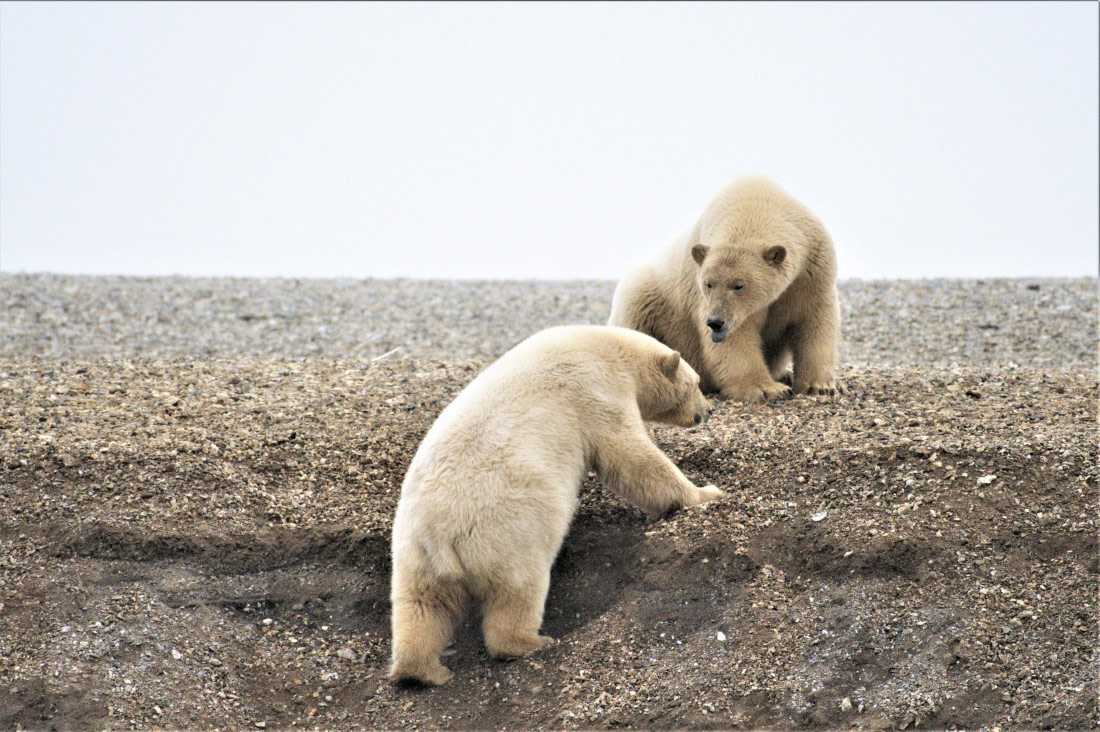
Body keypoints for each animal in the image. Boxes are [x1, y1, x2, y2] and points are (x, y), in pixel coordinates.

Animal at [389, 325, 724, 686]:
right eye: (696, 383)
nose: (709, 411)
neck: (606, 349)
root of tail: (440, 534)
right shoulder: (596, 391)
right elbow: (629, 456)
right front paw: (706, 492)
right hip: (508, 531)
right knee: (519, 589)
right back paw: (531, 642)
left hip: (414, 553)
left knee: (420, 606)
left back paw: (422, 671)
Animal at [608, 175, 844, 403]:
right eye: (708, 283)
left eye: (738, 285)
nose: (715, 322)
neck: (754, 202)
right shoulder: (713, 301)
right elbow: (737, 339)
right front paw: (767, 389)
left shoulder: (811, 273)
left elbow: (814, 320)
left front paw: (821, 386)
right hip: (641, 299)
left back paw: (784, 374)